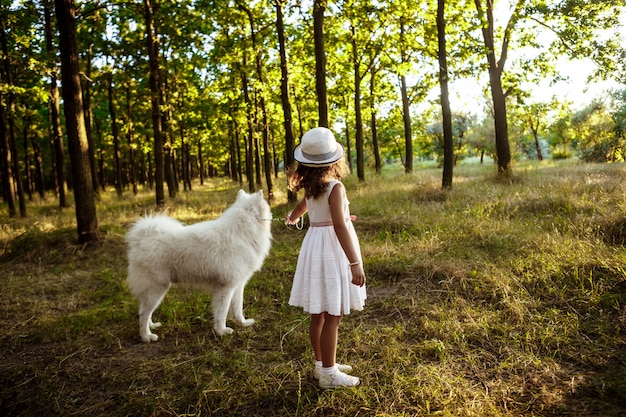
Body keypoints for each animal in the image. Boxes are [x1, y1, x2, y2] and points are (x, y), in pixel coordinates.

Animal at [126, 188, 270, 342]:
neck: (242, 231)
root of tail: (142, 238)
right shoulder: (225, 287)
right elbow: (222, 312)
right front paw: (221, 331)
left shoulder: (237, 285)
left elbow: (238, 308)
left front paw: (242, 323)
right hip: (156, 287)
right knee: (143, 313)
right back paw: (146, 336)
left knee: (144, 310)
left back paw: (152, 325)